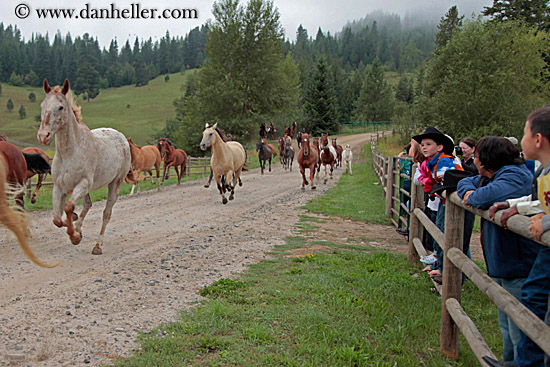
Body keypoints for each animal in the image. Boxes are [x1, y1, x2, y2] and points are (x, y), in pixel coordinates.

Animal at [37, 78, 132, 254]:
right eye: (42, 105)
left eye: (60, 107)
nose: (43, 136)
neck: (70, 152)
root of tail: (121, 137)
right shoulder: (59, 187)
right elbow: (56, 219)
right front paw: (76, 231)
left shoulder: (83, 184)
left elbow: (68, 207)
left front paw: (74, 236)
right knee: (88, 204)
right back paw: (78, 228)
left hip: (115, 183)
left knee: (106, 213)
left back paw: (97, 246)